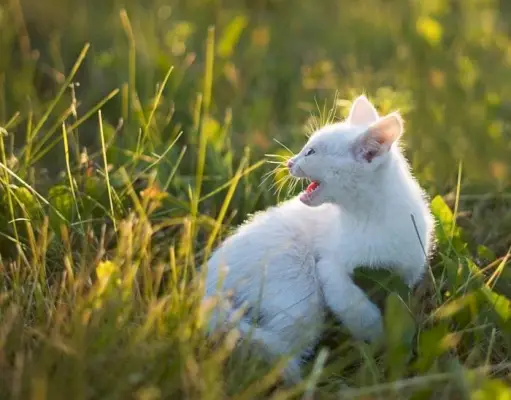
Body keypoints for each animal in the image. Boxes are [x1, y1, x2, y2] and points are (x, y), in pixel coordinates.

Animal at [202, 95, 434, 382]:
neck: (371, 216)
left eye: (311, 152)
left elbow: (399, 303)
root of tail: (205, 283)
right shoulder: (330, 267)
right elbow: (354, 306)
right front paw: (377, 341)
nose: (290, 162)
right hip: (298, 286)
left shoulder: (407, 271)